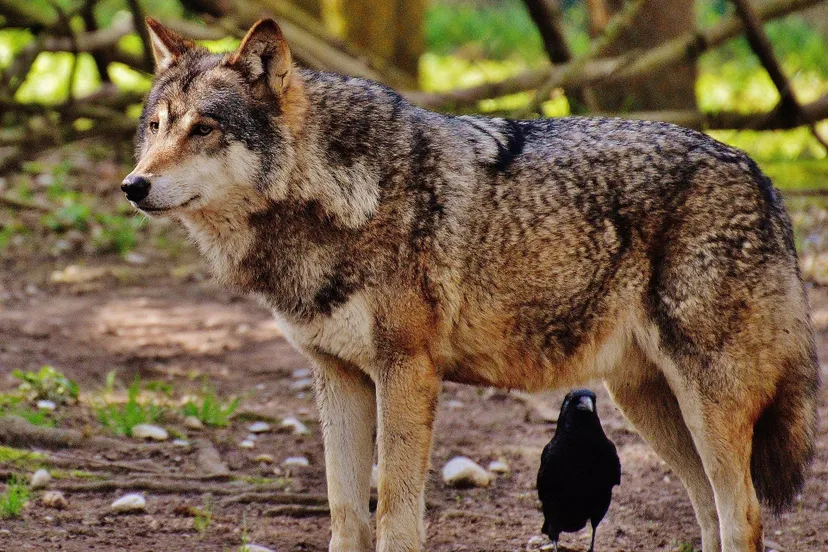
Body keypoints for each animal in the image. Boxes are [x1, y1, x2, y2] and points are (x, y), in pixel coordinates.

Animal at [123, 18, 820, 552]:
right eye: (156, 126)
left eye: (204, 129)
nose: (133, 186)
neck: (337, 195)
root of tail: (763, 177)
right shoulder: (337, 376)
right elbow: (346, 514)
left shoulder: (406, 372)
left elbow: (394, 515)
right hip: (647, 404)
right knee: (711, 516)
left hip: (704, 404)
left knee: (744, 516)